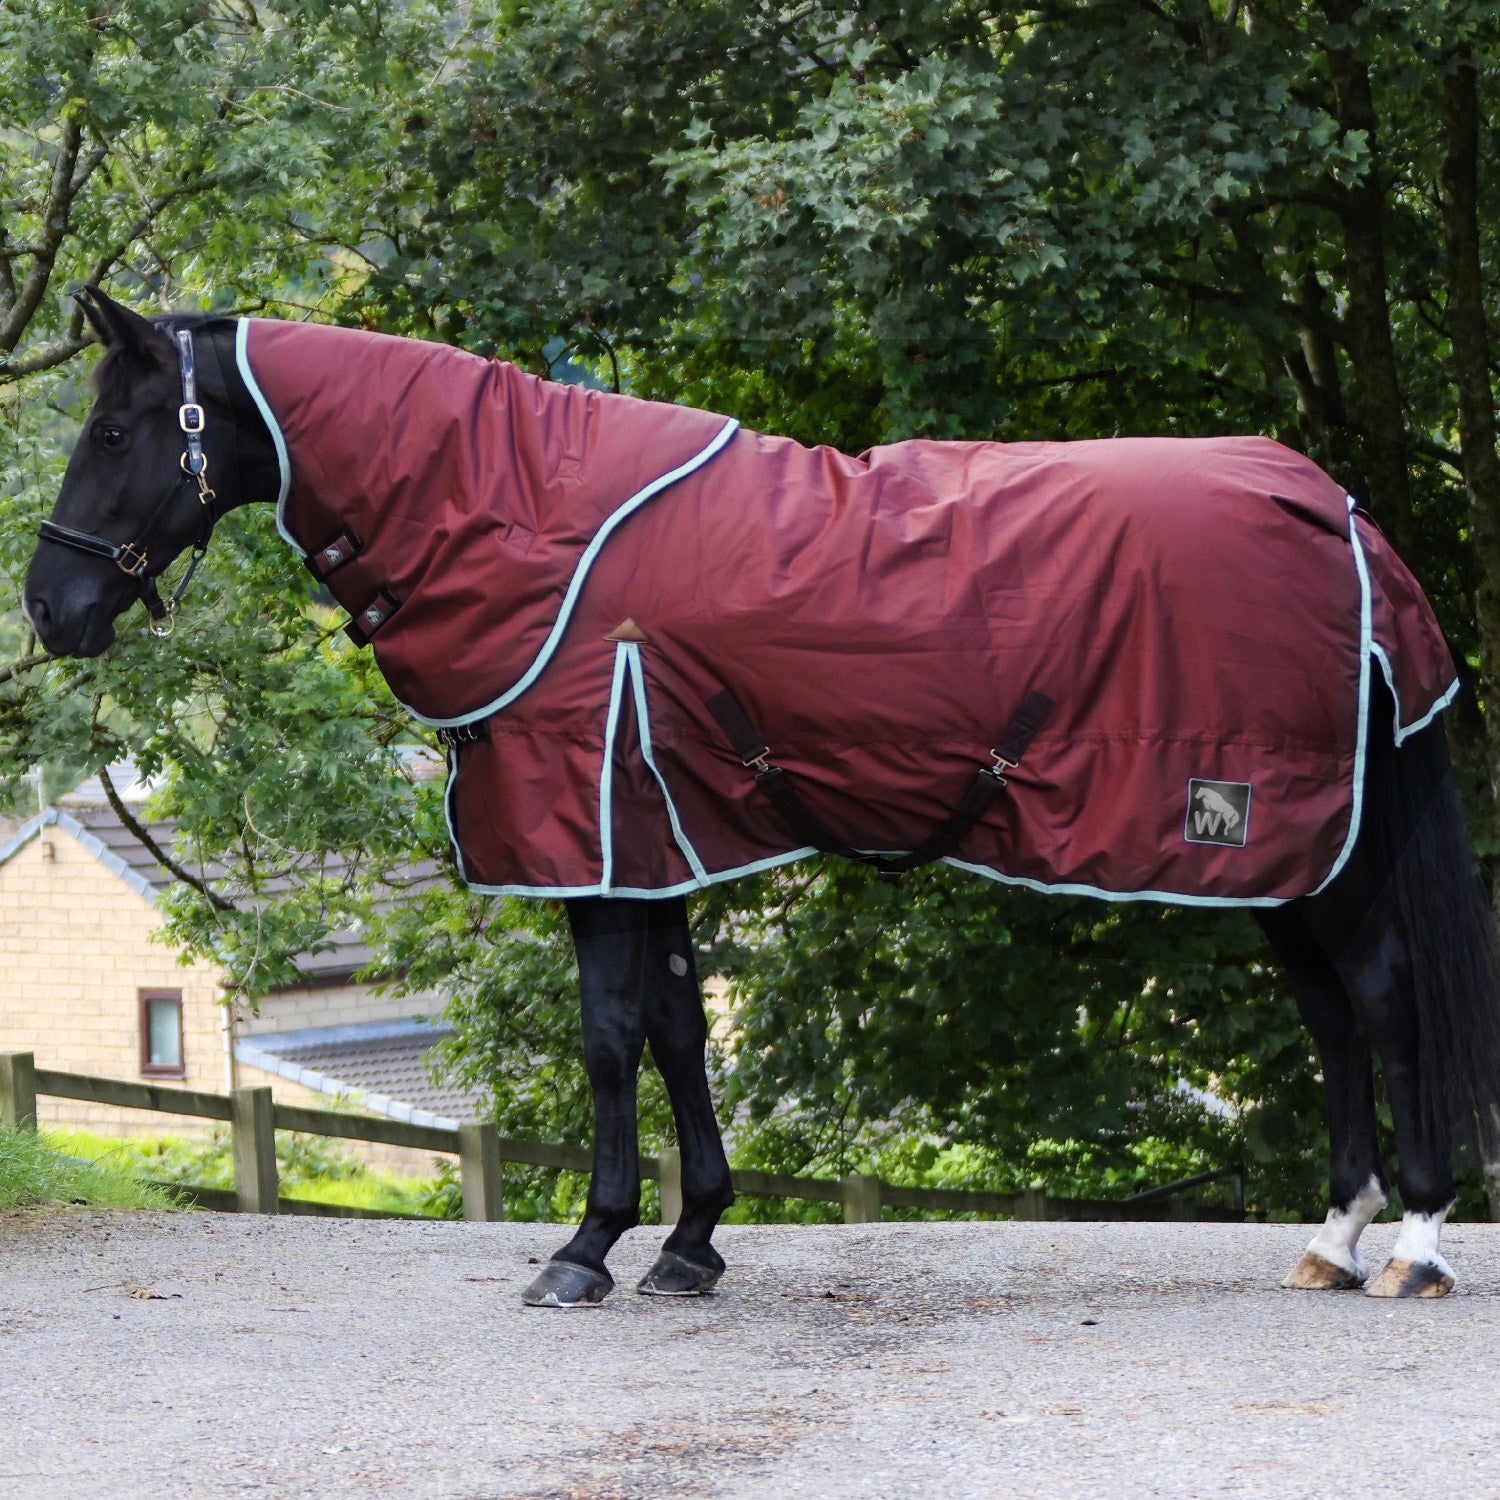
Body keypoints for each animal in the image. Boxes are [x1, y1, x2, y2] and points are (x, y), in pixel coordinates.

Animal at [21, 286, 1500, 1305]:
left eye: (115, 427)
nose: (51, 607)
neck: (526, 521)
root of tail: (1339, 514)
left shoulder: (598, 842)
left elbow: (610, 1040)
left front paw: (588, 1246)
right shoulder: (657, 840)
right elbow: (679, 1033)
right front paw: (688, 1240)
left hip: (1296, 844)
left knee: (1382, 1001)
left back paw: (1414, 1244)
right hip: (1288, 859)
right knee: (1334, 1015)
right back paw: (1335, 1238)